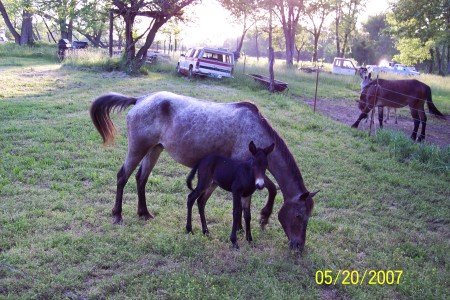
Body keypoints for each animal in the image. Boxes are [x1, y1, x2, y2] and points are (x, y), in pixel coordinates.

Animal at [89, 91, 318, 251]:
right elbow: (258, 197)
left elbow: (262, 195)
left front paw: (252, 223)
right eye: (299, 216)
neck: (256, 131)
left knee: (141, 178)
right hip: (138, 148)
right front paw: (261, 218)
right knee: (123, 176)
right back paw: (118, 215)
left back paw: (144, 212)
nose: (299, 246)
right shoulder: (245, 170)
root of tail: (140, 100)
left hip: (154, 149)